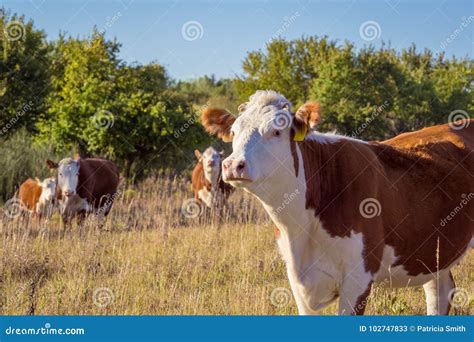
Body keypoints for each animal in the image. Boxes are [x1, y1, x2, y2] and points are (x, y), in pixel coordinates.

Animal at [202, 90, 472, 316]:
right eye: (234, 132)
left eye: (276, 131)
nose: (233, 165)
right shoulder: (297, 279)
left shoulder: (358, 277)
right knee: (440, 291)